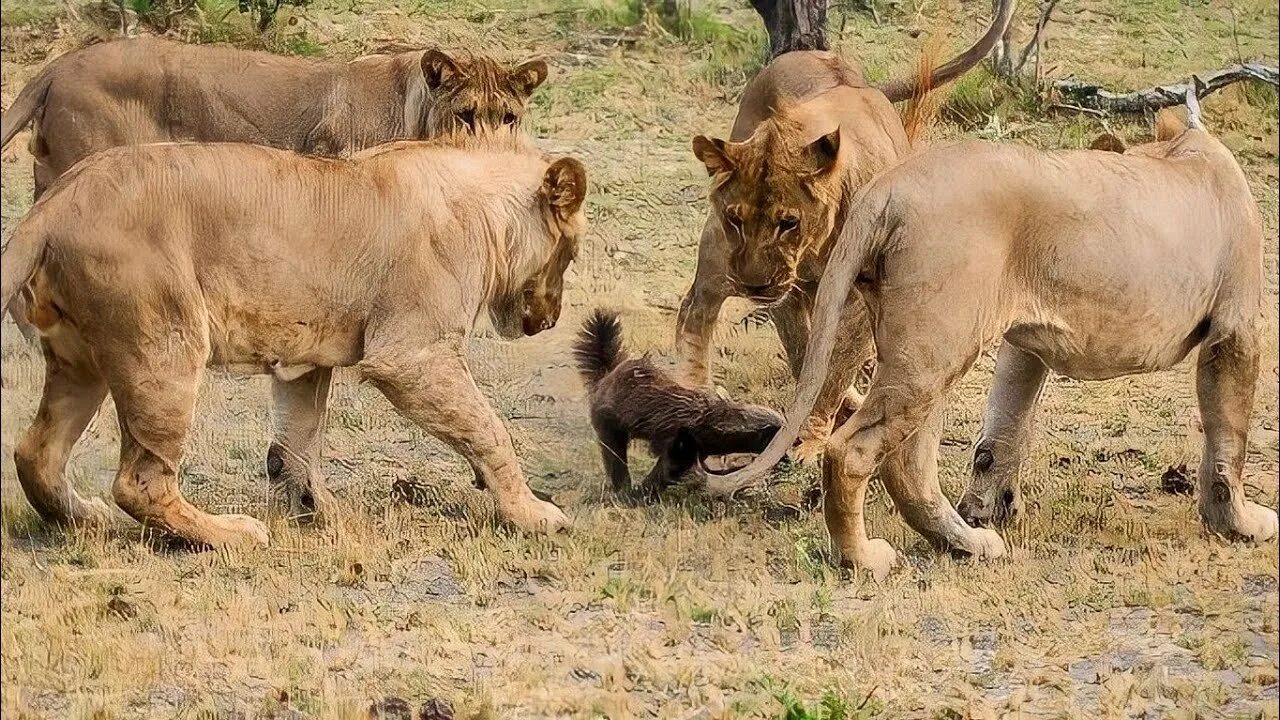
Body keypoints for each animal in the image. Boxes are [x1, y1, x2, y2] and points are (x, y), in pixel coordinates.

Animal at [0, 134, 588, 545]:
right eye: (570, 252)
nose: (550, 320)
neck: (485, 216)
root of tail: (55, 200)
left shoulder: (307, 361)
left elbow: (299, 439)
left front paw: (320, 510)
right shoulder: (413, 355)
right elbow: (490, 430)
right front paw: (532, 514)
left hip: (80, 359)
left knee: (36, 451)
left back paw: (82, 519)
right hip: (165, 345)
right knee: (139, 481)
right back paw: (229, 534)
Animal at [680, 0, 1008, 458]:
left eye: (788, 223)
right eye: (736, 218)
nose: (753, 285)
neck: (818, 244)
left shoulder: (852, 297)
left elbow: (834, 367)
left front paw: (812, 438)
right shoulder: (784, 288)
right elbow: (804, 352)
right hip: (716, 257)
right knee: (694, 306)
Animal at [711, 94, 1280, 576]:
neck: (1182, 150)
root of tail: (889, 187)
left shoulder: (1024, 342)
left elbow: (1003, 428)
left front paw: (989, 508)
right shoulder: (1236, 327)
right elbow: (1229, 439)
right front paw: (1240, 523)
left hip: (925, 351)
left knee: (908, 466)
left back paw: (966, 543)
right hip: (935, 348)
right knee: (851, 452)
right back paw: (863, 559)